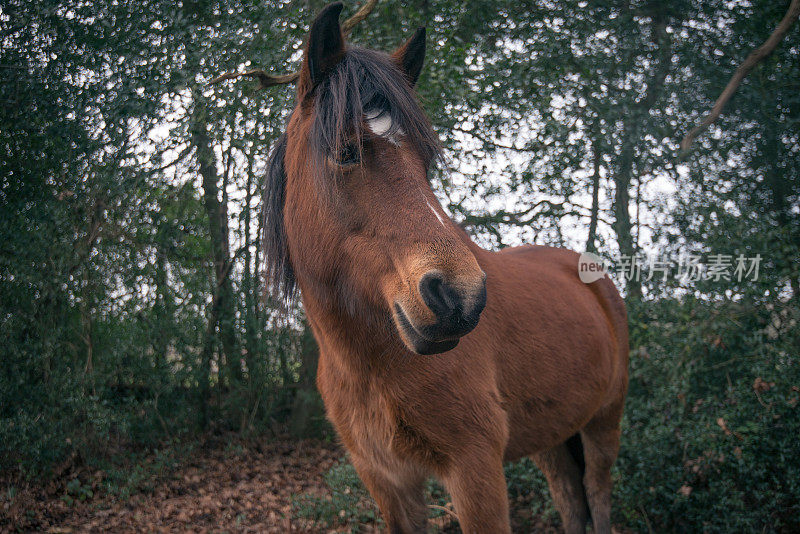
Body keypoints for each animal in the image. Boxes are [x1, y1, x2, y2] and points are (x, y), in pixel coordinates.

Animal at [266, 5, 628, 534]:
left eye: (426, 160)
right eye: (347, 151)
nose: (462, 298)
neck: (367, 363)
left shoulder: (474, 469)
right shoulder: (388, 482)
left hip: (604, 421)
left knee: (598, 496)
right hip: (552, 437)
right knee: (569, 498)